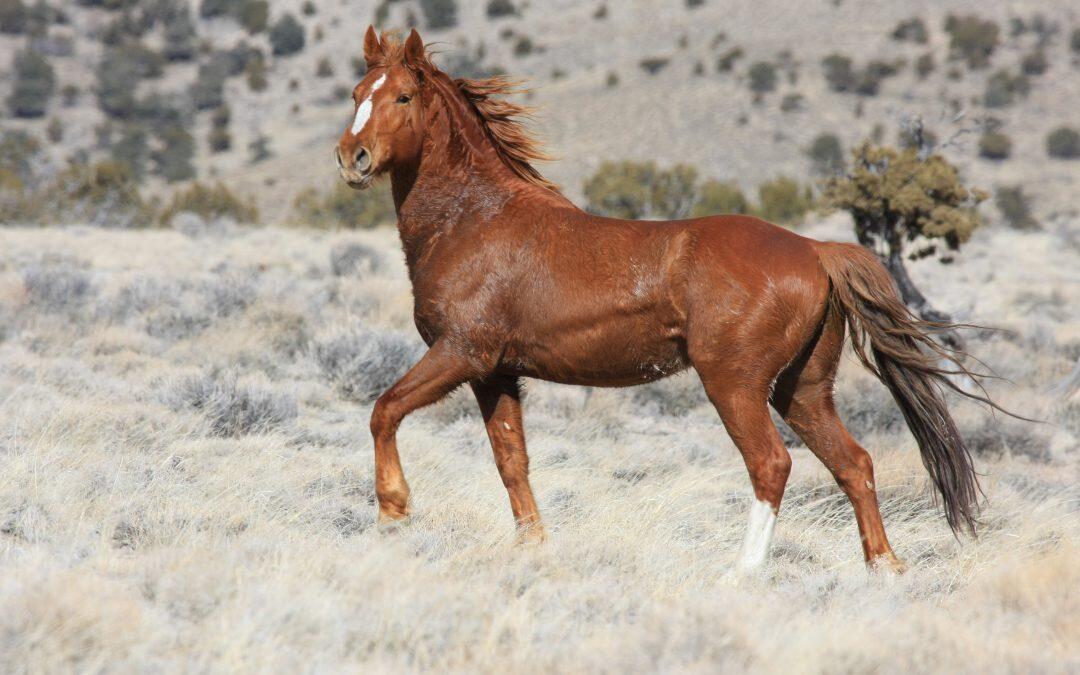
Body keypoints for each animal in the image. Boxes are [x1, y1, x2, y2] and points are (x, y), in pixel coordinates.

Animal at [332, 27, 989, 574]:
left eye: (403, 97)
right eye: (357, 92)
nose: (351, 158)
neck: (474, 220)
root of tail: (814, 249)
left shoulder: (461, 353)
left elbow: (383, 410)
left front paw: (393, 514)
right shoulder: (496, 373)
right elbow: (511, 461)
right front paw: (533, 546)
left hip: (735, 384)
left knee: (772, 464)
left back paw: (744, 572)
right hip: (801, 389)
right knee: (854, 463)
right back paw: (885, 569)